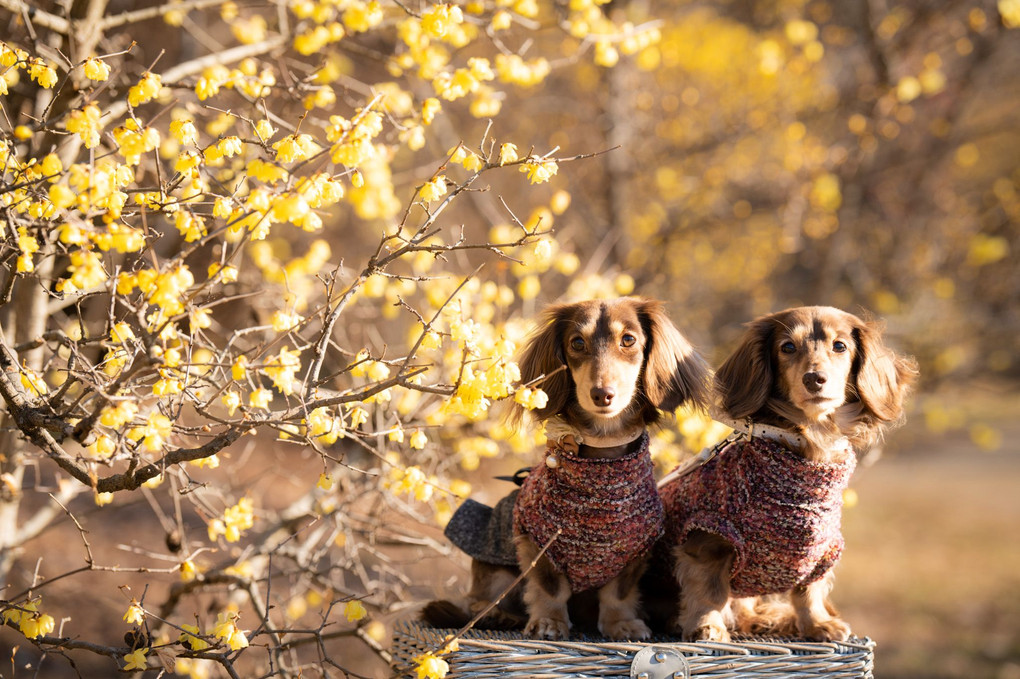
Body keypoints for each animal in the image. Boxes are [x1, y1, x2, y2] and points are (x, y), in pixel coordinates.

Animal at [424, 295, 709, 636]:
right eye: (577, 342)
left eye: (628, 340)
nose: (602, 394)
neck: (603, 456)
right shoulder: (537, 539)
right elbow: (550, 587)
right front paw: (549, 621)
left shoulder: (635, 548)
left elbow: (618, 592)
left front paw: (622, 624)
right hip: (494, 567)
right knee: (480, 600)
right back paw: (497, 615)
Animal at [656, 305, 922, 640]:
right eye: (788, 347)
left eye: (840, 346)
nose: (814, 379)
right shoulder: (707, 538)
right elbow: (710, 592)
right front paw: (707, 627)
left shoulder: (822, 552)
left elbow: (808, 593)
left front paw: (818, 624)